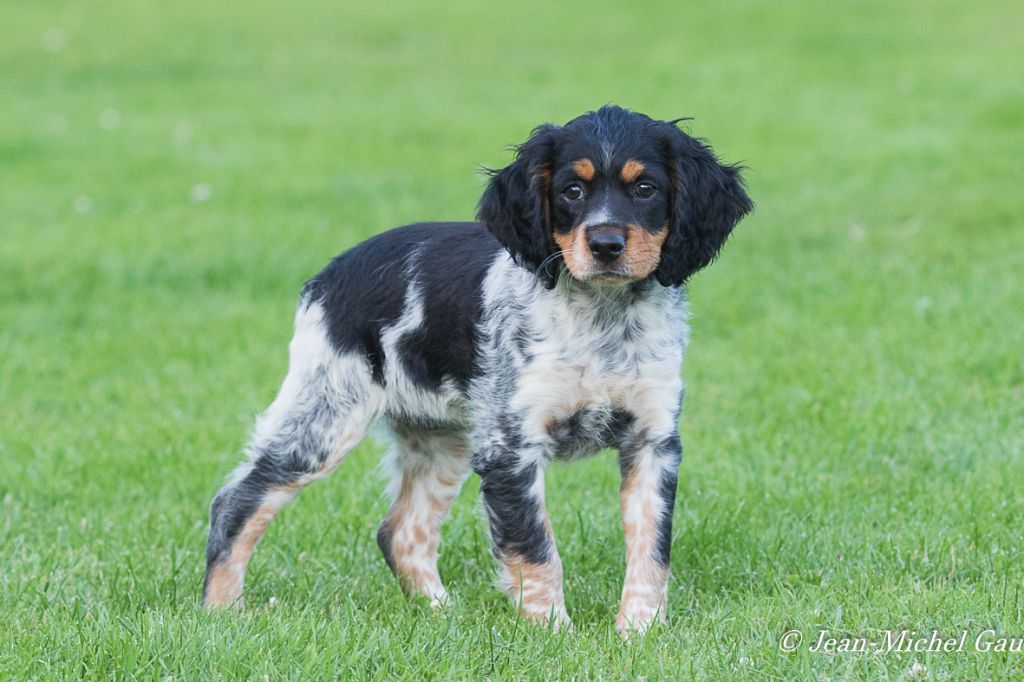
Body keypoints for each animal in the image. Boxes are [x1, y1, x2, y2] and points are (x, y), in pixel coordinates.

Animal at [203, 103, 753, 630]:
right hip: (325, 416)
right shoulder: (511, 447)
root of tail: (327, 276)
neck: (602, 319)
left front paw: (640, 631)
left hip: (438, 439)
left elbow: (651, 550)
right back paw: (220, 609)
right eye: (572, 190)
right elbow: (536, 550)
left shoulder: (653, 440)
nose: (605, 245)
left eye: (645, 188)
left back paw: (440, 614)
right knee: (237, 499)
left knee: (401, 531)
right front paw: (552, 633)